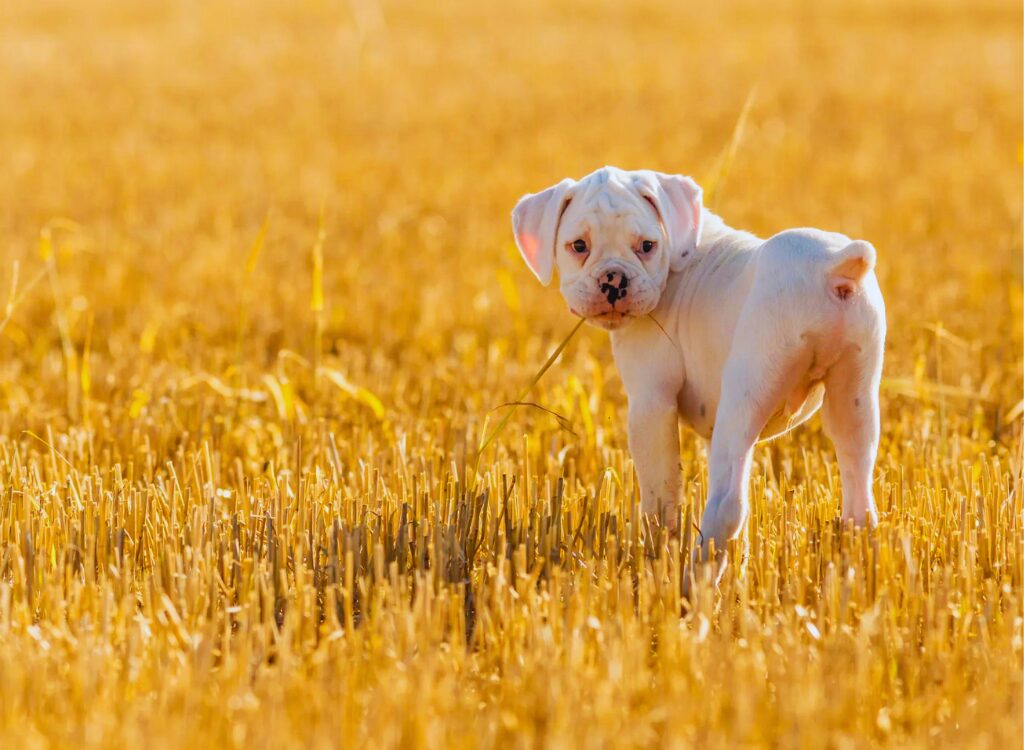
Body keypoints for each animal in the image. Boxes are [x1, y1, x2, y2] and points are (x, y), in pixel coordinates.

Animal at [512, 167, 888, 577]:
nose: (613, 280)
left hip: (745, 396)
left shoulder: (651, 406)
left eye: (646, 246)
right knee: (859, 500)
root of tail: (836, 264)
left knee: (726, 506)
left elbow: (662, 500)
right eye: (578, 246)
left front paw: (655, 562)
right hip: (854, 401)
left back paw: (694, 580)